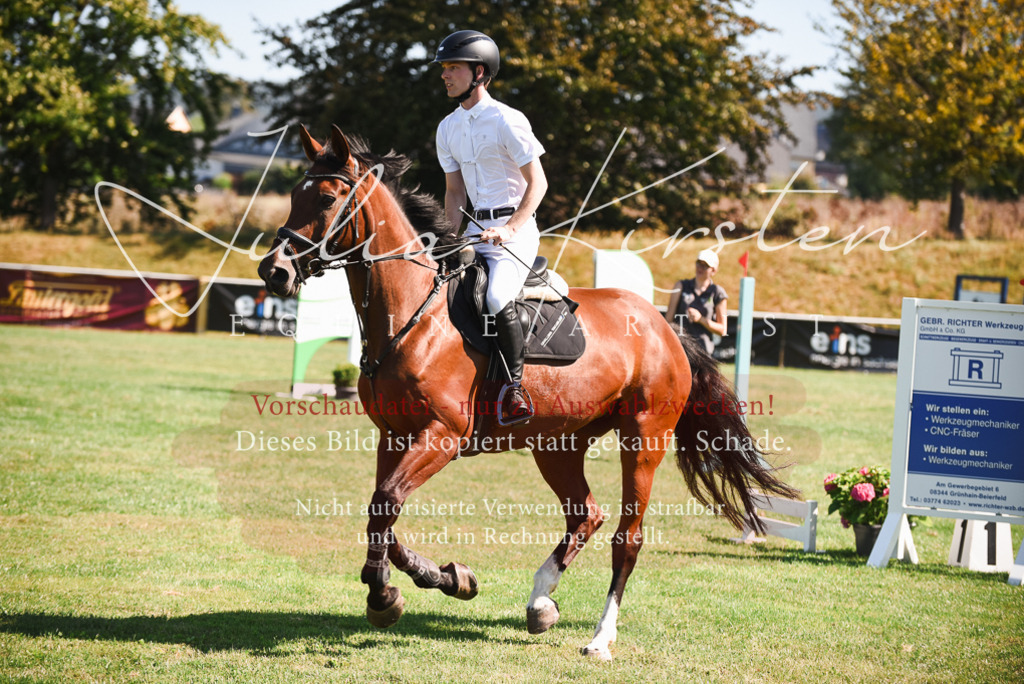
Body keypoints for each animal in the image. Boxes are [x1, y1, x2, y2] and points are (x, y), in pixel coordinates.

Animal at [258, 124, 798, 661]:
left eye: (328, 199)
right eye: (294, 195)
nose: (273, 271)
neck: (414, 314)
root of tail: (664, 327)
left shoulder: (443, 434)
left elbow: (385, 504)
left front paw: (385, 594)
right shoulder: (394, 436)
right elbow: (381, 512)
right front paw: (445, 579)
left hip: (643, 439)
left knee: (627, 538)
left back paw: (600, 637)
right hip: (558, 443)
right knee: (585, 515)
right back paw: (541, 602)